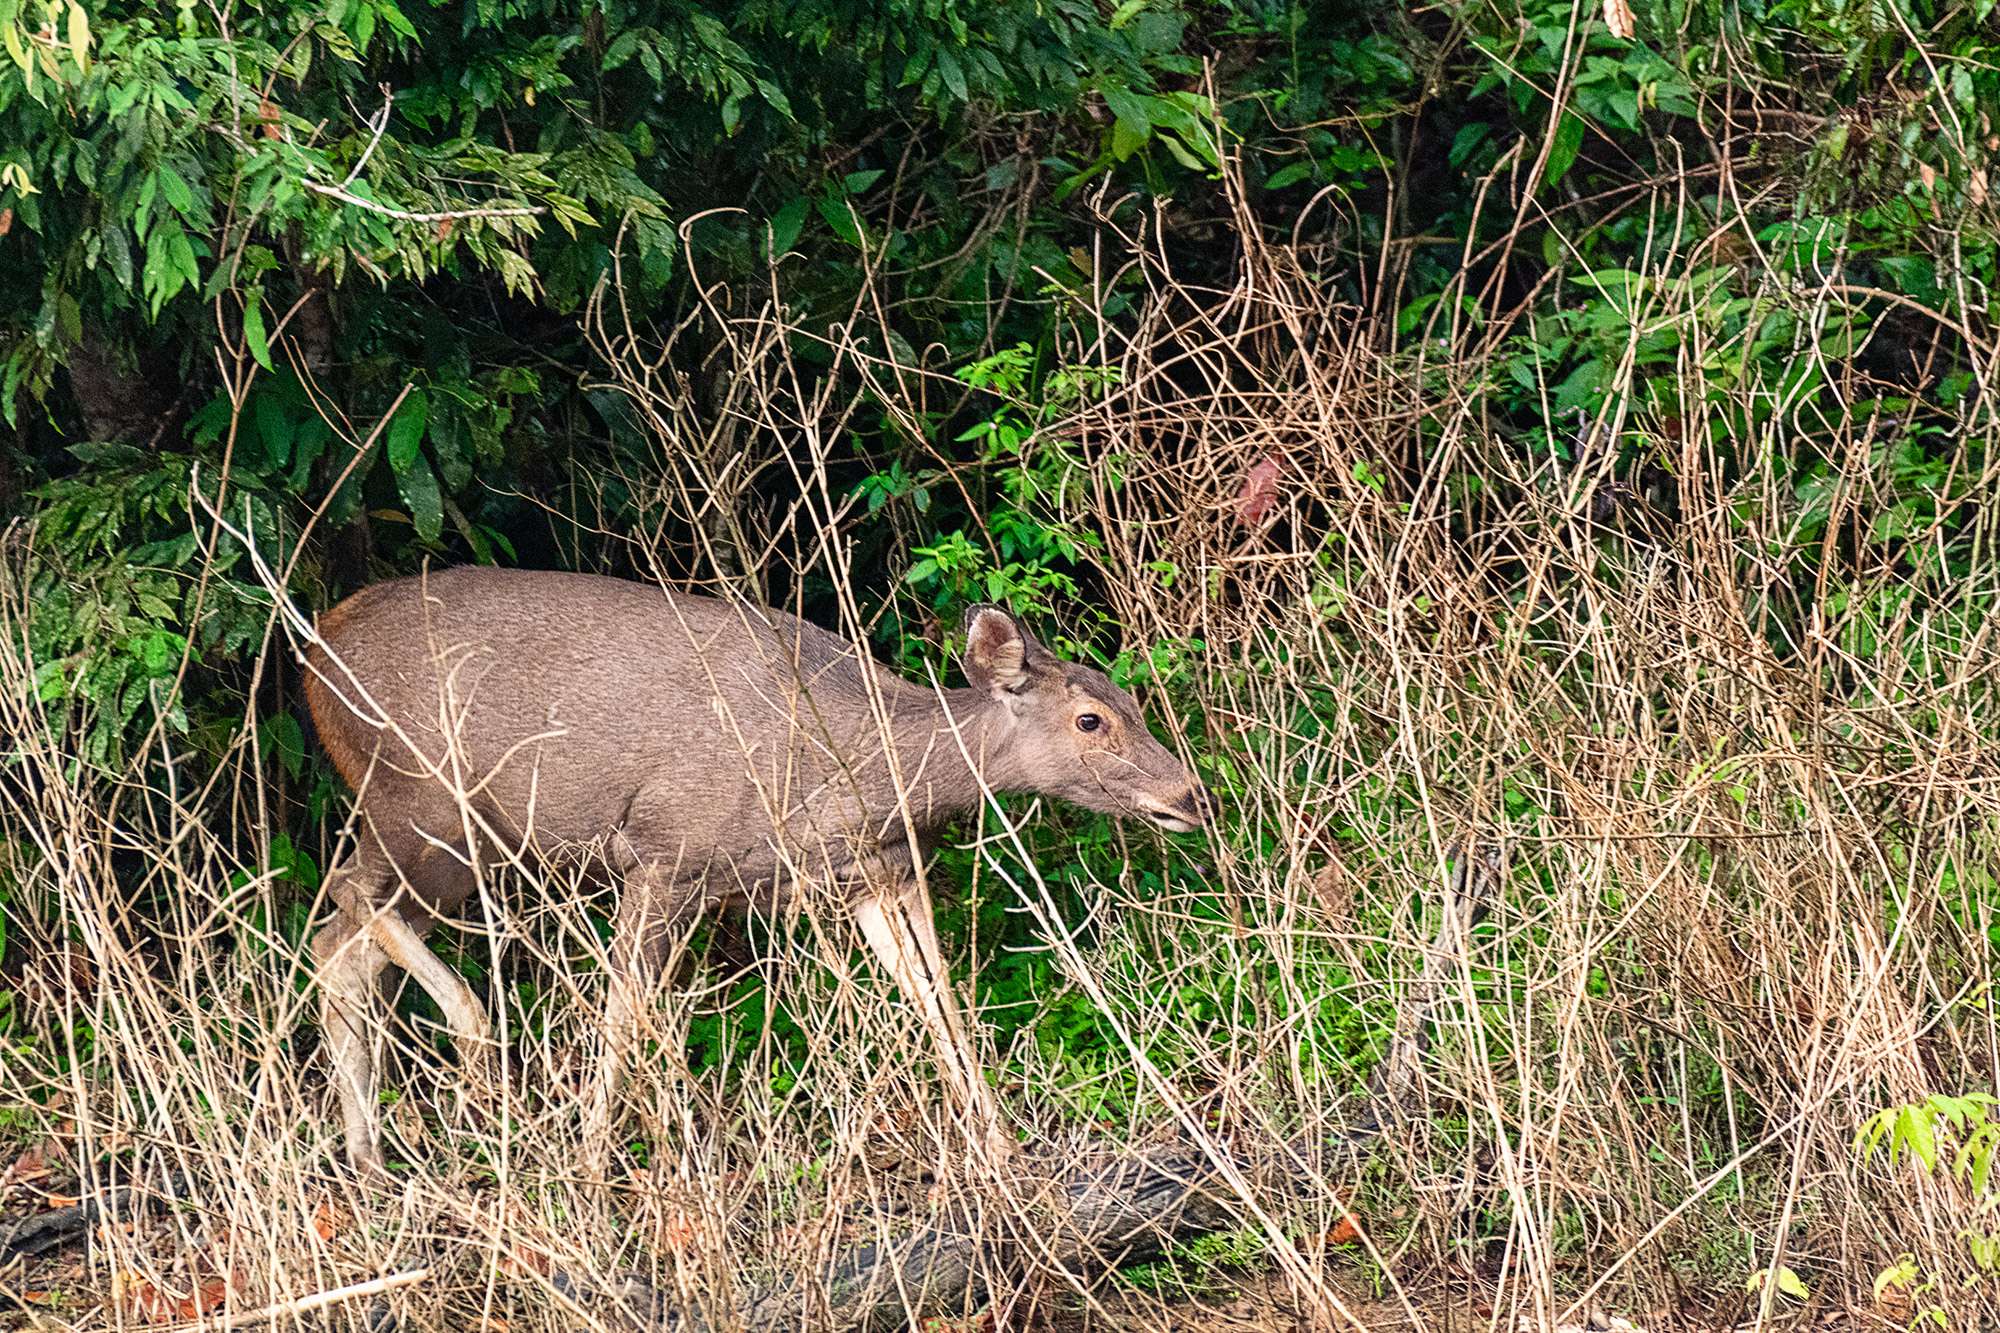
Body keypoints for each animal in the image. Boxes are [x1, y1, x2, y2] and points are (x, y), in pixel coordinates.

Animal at [300, 566, 1210, 1180]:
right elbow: (624, 1010)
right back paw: (471, 1045)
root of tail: (313, 651)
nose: (1191, 795)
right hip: (420, 799)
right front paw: (590, 1165)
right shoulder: (664, 851)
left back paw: (370, 1163)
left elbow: (935, 992)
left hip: (456, 847)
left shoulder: (871, 869)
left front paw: (1003, 1146)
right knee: (343, 901)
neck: (859, 765)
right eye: (1089, 720)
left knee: (339, 941)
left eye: (1131, 702)